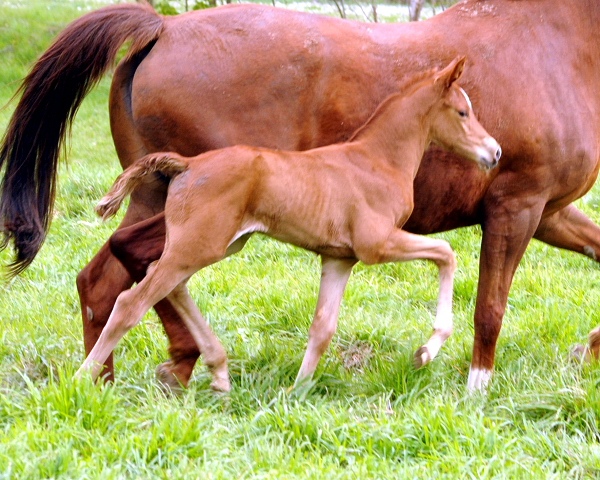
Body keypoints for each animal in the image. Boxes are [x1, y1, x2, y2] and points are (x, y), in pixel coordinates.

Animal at [77, 59, 500, 390]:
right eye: (462, 112)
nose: (494, 152)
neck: (378, 160)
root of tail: (188, 164)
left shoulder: (340, 258)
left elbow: (322, 327)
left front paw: (296, 392)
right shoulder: (376, 244)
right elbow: (446, 253)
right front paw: (426, 350)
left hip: (216, 244)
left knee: (170, 285)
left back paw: (219, 372)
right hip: (197, 245)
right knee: (132, 302)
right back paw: (82, 380)